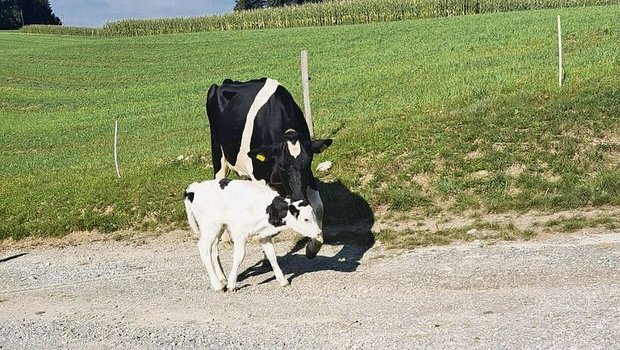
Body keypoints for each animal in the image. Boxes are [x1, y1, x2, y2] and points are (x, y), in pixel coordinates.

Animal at [183, 179, 322, 292]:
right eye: (306, 219)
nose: (319, 233)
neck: (266, 209)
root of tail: (194, 189)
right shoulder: (239, 233)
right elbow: (239, 256)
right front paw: (231, 284)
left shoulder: (264, 236)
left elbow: (272, 256)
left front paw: (283, 280)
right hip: (210, 226)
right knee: (203, 248)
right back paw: (217, 285)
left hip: (218, 227)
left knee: (213, 248)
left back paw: (222, 279)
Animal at [206, 78, 332, 258]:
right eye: (282, 166)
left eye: (308, 162)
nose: (300, 199)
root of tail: (226, 82)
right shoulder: (259, 175)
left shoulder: (308, 176)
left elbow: (319, 207)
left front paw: (312, 247)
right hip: (218, 153)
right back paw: (226, 239)